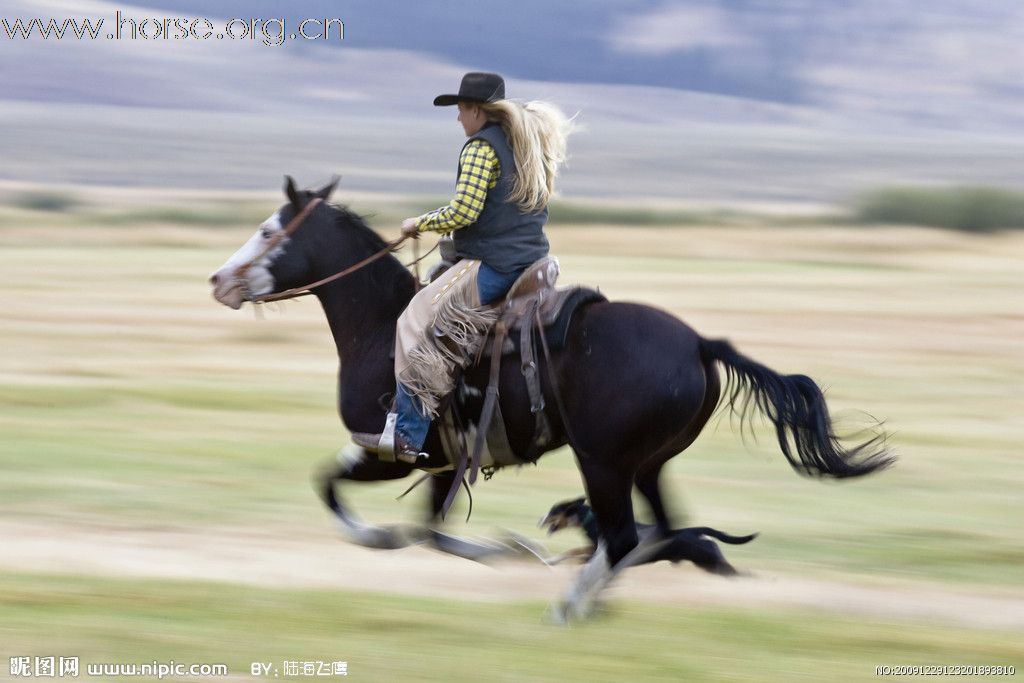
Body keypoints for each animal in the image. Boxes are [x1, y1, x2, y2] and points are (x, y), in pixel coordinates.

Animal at [211, 179, 892, 622]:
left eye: (269, 230)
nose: (220, 280)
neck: (380, 328)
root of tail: (700, 342)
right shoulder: (442, 462)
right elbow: (425, 529)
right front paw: (504, 549)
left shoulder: (392, 452)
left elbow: (345, 496)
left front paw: (488, 549)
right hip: (647, 464)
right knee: (660, 530)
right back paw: (594, 595)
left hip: (605, 462)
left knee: (625, 535)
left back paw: (570, 603)